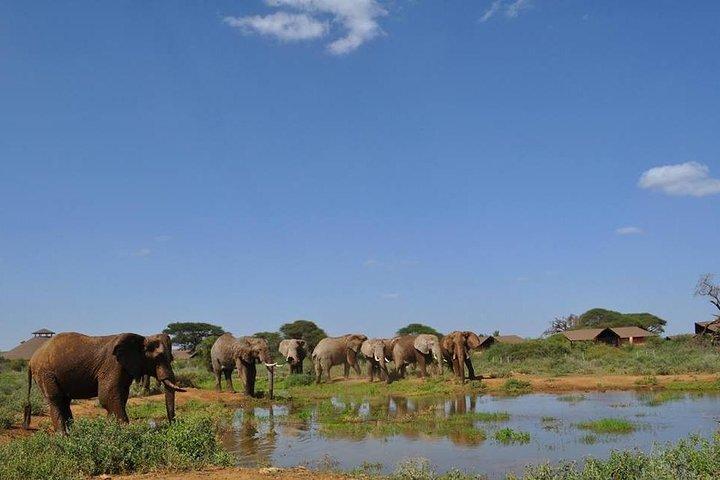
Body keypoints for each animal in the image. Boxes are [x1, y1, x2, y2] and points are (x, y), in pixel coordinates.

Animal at [23, 332, 185, 435]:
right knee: (56, 399)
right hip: (45, 373)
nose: (172, 426)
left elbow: (119, 397)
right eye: (157, 358)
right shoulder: (113, 365)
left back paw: (74, 434)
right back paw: (63, 437)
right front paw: (127, 433)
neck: (142, 338)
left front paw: (111, 430)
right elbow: (108, 397)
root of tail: (31, 361)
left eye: (171, 357)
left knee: (64, 401)